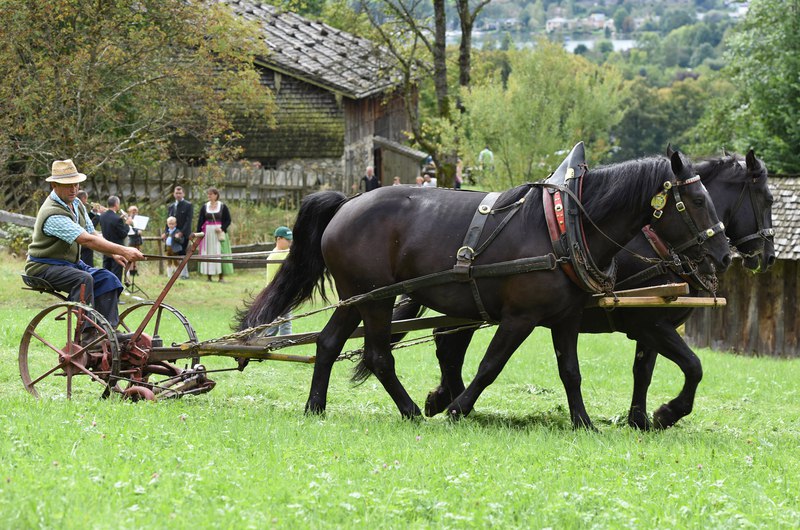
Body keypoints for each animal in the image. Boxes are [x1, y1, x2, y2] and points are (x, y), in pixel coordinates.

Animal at [239, 151, 732, 426]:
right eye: (698, 200)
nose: (725, 254)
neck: (562, 229)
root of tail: (348, 202)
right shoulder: (520, 317)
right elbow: (491, 366)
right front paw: (458, 410)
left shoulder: (566, 318)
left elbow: (570, 372)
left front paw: (584, 422)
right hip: (376, 297)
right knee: (379, 355)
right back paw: (412, 411)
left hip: (357, 297)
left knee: (327, 343)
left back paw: (316, 407)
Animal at [404, 150, 772, 428]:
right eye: (767, 199)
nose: (766, 256)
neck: (660, 245)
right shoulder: (649, 323)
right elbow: (693, 366)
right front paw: (667, 413)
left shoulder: (651, 325)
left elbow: (643, 372)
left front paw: (639, 419)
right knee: (448, 345)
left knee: (447, 344)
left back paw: (444, 396)